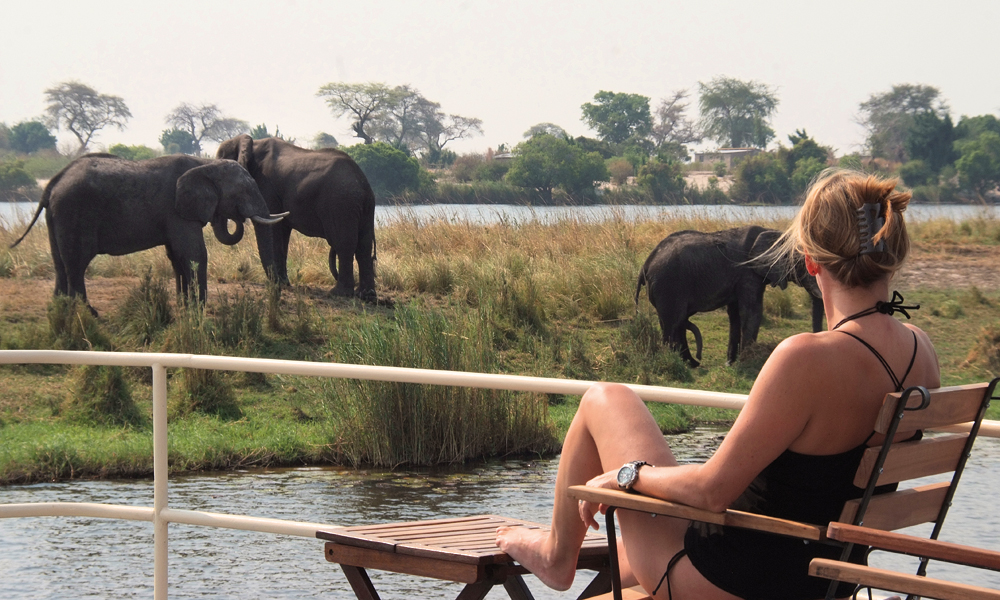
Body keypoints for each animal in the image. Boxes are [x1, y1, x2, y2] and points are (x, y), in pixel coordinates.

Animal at [9, 152, 288, 312]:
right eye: (243, 191)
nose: (238, 218)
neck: (206, 164)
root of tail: (52, 183)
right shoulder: (176, 211)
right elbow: (194, 253)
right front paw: (198, 308)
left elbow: (177, 256)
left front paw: (185, 306)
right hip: (74, 212)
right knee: (76, 264)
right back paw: (88, 313)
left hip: (57, 216)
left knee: (59, 263)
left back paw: (60, 312)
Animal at [217, 133, 376, 298]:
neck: (249, 143)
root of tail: (363, 184)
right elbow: (282, 232)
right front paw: (283, 283)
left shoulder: (265, 185)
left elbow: (274, 228)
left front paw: (278, 284)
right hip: (364, 208)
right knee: (364, 246)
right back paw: (366, 295)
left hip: (340, 204)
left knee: (344, 244)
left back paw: (339, 293)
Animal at [636, 225, 824, 366]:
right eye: (804, 262)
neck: (777, 234)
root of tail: (645, 264)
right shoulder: (748, 274)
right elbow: (752, 312)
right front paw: (747, 362)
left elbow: (735, 315)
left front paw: (731, 363)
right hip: (668, 285)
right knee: (674, 322)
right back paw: (681, 362)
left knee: (676, 322)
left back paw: (690, 363)